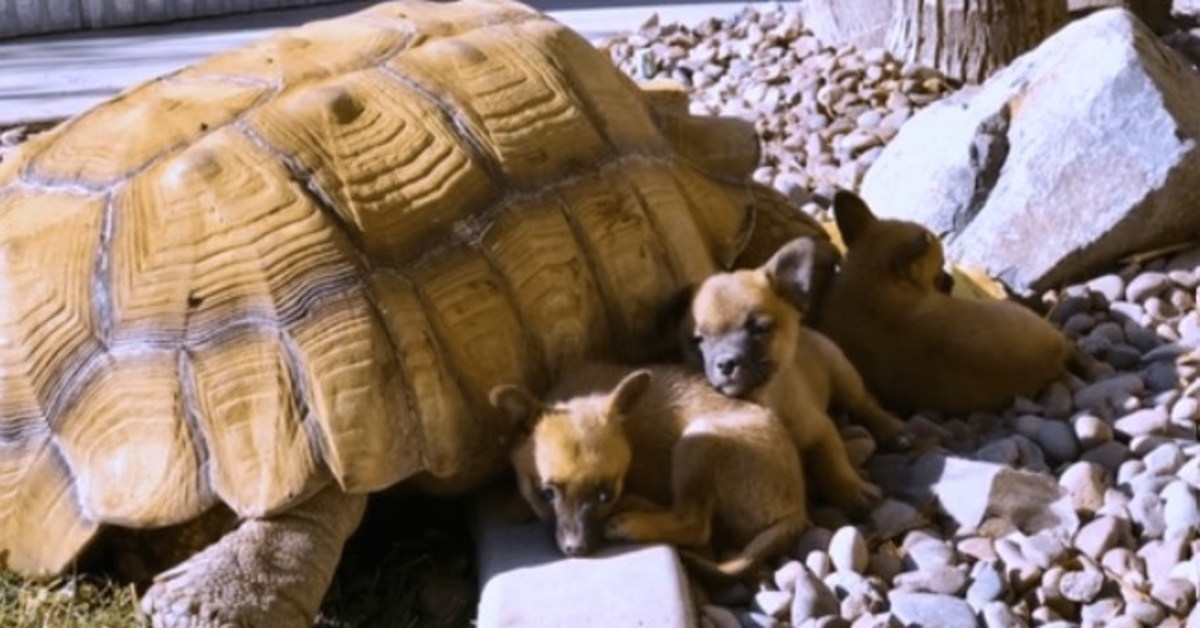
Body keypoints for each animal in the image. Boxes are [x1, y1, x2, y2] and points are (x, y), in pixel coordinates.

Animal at [487, 362, 806, 581]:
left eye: (605, 495)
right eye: (546, 494)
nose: (577, 549)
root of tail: (797, 511)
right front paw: (517, 504)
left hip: (697, 439)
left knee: (695, 525)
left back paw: (633, 522)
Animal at [691, 238, 902, 513]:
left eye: (760, 329)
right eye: (699, 340)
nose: (726, 363)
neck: (766, 398)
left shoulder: (821, 430)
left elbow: (833, 462)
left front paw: (851, 488)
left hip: (844, 377)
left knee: (865, 404)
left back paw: (890, 429)